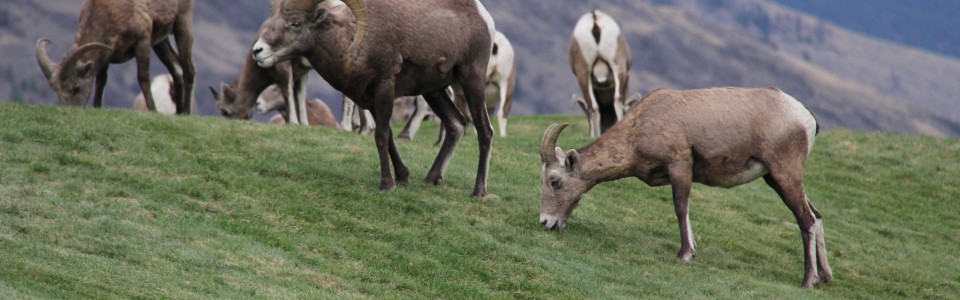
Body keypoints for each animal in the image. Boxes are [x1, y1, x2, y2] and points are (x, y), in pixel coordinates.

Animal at [34, 0, 196, 114]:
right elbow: (101, 82)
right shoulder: (105, 56)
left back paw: (186, 113)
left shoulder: (142, 42)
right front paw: (97, 107)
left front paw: (153, 111)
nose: (73, 110)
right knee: (176, 70)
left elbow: (143, 78)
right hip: (160, 42)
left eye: (76, 88)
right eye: (58, 93)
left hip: (182, 24)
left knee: (188, 70)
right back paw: (179, 113)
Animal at [251, 0, 498, 197]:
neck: (351, 43)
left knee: (485, 131)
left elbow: (380, 136)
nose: (257, 51)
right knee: (456, 124)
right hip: (434, 91)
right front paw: (403, 177)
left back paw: (479, 192)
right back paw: (432, 178)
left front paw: (387, 184)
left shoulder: (385, 87)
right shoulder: (370, 99)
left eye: (296, 23)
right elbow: (388, 136)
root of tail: (482, 16)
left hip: (471, 80)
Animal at [540, 87, 832, 288]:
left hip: (784, 174)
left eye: (554, 181)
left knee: (806, 219)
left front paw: (685, 254)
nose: (546, 222)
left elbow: (681, 208)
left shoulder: (679, 164)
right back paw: (826, 276)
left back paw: (808, 280)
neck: (640, 126)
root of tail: (805, 118)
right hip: (776, 179)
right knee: (816, 216)